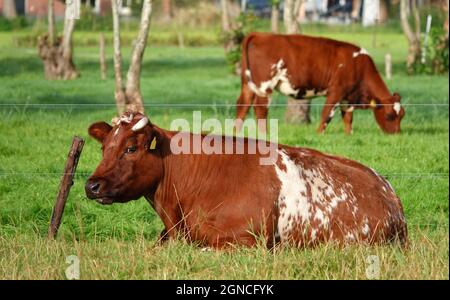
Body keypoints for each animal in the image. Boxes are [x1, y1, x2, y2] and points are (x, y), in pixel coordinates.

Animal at [234, 32, 406, 134]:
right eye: (390, 116)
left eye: (402, 115)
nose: (396, 135)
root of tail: (259, 34)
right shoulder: (336, 91)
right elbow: (326, 115)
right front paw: (319, 134)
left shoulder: (347, 97)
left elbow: (348, 118)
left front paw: (348, 135)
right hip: (265, 86)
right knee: (260, 109)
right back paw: (265, 134)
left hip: (247, 85)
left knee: (243, 105)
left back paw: (236, 132)